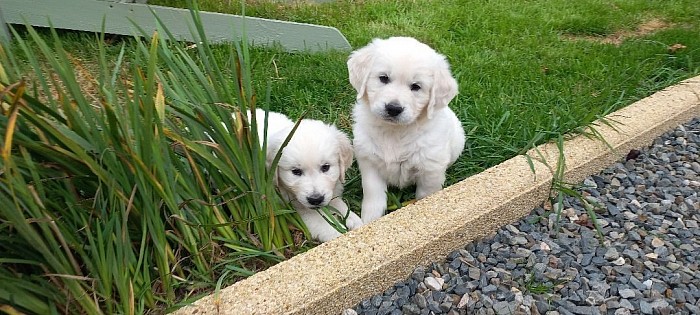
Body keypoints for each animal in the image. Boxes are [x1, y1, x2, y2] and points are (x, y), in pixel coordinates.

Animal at [348, 37, 468, 225]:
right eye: (383, 78)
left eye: (416, 87)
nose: (393, 108)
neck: (394, 131)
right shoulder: (369, 161)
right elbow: (373, 194)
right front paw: (370, 221)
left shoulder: (430, 170)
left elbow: (425, 197)